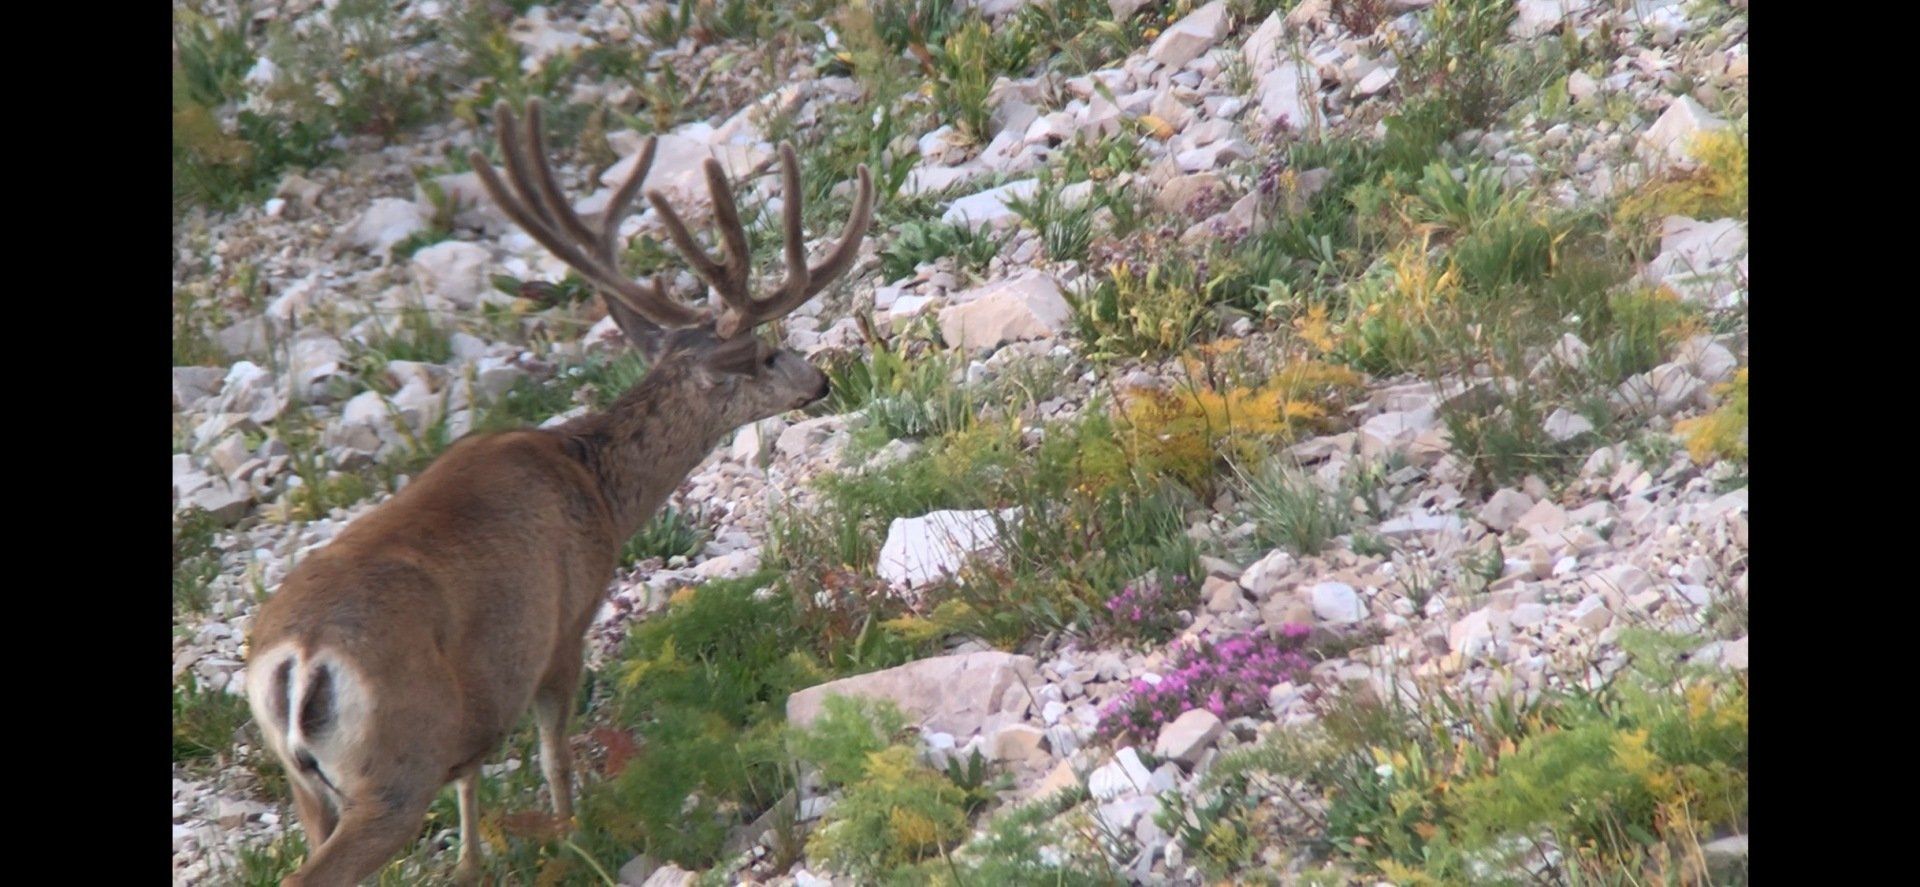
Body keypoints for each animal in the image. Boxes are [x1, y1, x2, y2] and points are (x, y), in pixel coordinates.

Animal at [243, 98, 874, 887]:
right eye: (765, 352)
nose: (819, 380)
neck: (595, 484)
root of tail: (296, 658)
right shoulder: (567, 622)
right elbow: (555, 756)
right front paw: (574, 839)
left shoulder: (480, 696)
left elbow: (473, 779)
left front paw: (474, 862)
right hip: (394, 763)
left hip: (313, 784)